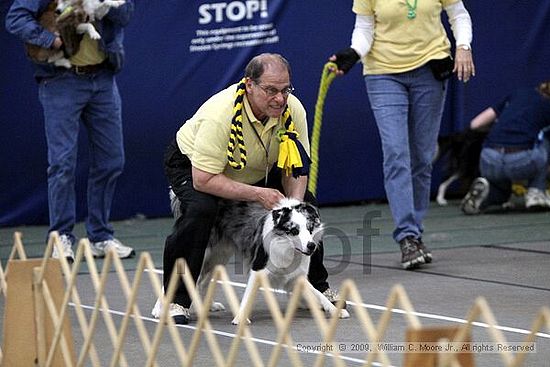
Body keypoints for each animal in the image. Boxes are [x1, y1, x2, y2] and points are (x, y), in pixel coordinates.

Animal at [152, 197, 350, 324]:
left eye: (309, 228)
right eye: (294, 230)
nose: (311, 246)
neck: (286, 246)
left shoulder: (295, 277)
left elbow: (317, 293)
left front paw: (335, 310)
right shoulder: (258, 268)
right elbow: (248, 295)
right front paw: (240, 318)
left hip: (218, 256)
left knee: (202, 281)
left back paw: (205, 307)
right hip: (202, 251)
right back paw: (160, 310)